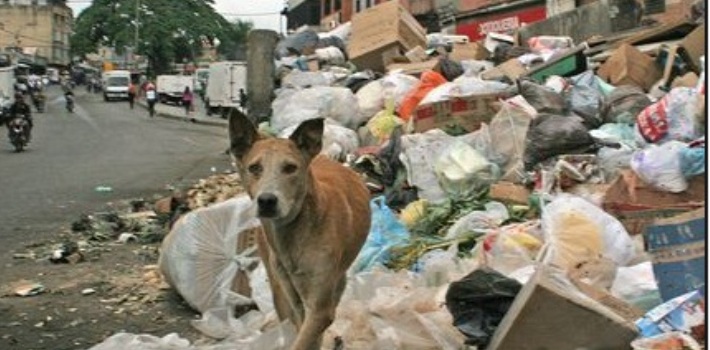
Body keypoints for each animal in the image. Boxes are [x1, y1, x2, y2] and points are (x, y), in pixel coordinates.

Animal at [229, 110, 376, 350]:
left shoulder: (320, 308)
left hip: (338, 280)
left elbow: (312, 331)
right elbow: (303, 333)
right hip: (278, 283)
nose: (266, 201)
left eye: (290, 168)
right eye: (254, 168)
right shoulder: (297, 301)